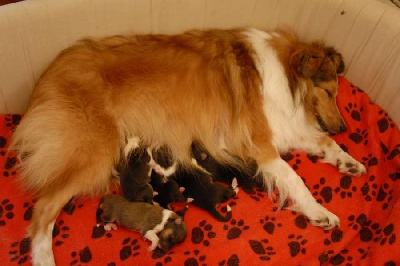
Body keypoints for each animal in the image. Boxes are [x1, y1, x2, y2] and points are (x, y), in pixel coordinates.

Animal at [10, 27, 366, 266]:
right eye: (329, 91)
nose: (344, 128)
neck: (285, 77)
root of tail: (43, 82)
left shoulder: (285, 127)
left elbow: (323, 141)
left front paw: (349, 162)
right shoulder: (260, 141)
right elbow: (295, 178)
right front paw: (321, 212)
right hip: (94, 151)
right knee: (43, 209)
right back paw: (44, 257)